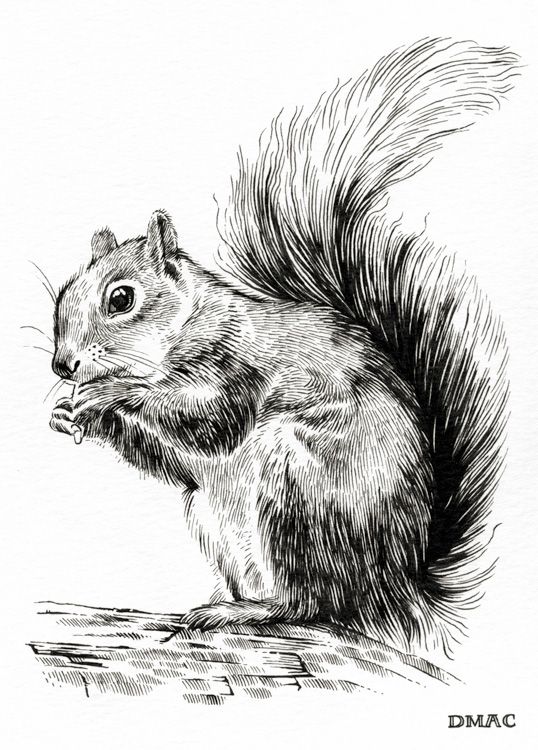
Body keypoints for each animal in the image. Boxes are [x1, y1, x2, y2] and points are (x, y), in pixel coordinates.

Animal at [49, 39, 517, 654]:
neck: (188, 327)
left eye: (121, 298)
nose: (62, 366)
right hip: (212, 512)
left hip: (298, 490)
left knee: (309, 604)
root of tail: (393, 586)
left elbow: (211, 421)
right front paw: (68, 414)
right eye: (62, 293)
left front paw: (109, 398)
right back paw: (222, 603)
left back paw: (244, 612)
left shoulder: (238, 364)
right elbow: (170, 457)